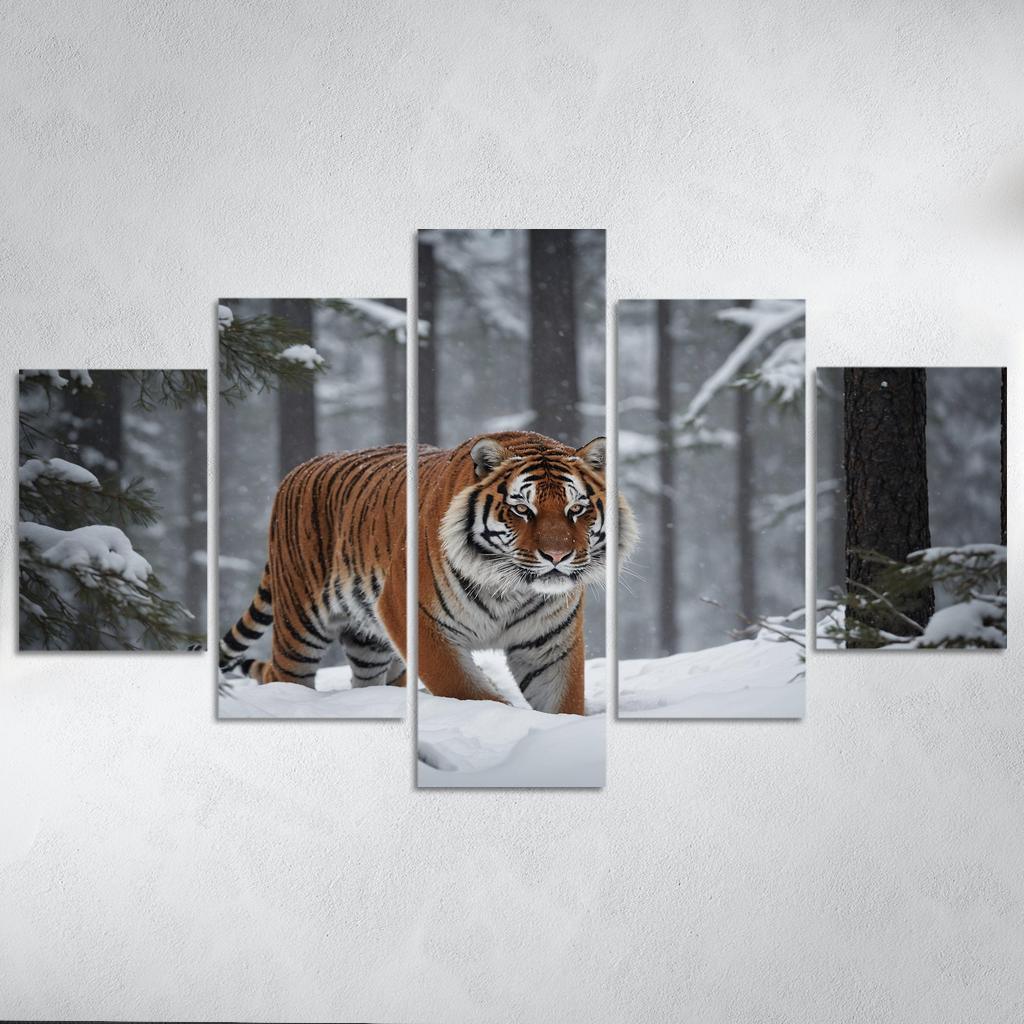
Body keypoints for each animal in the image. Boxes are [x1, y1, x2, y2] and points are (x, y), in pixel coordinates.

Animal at [219, 430, 637, 715]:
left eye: (576, 509)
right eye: (522, 509)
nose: (557, 555)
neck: (512, 589)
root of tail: (295, 471)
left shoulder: (550, 644)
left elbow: (562, 701)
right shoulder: (414, 617)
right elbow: (465, 688)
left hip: (370, 640)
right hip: (300, 625)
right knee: (286, 674)